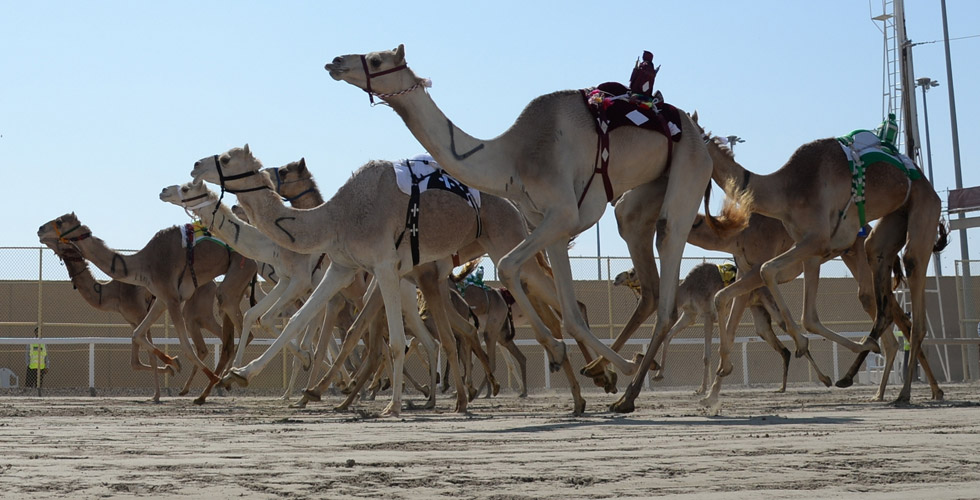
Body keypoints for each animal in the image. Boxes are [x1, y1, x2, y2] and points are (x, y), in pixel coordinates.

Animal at [38, 213, 256, 404]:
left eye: (59, 221)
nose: (40, 229)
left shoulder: (167, 299)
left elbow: (182, 348)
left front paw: (160, 390)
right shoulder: (159, 301)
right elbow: (137, 337)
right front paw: (172, 364)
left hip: (226, 285)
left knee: (236, 331)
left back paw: (222, 381)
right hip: (215, 300)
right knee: (226, 340)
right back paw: (210, 388)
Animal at [326, 45, 748, 414]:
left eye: (376, 59)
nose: (334, 62)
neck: (512, 157)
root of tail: (698, 132)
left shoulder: (561, 213)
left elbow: (509, 267)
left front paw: (598, 364)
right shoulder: (552, 224)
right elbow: (570, 313)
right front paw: (596, 368)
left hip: (688, 172)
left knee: (668, 269)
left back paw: (628, 392)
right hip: (637, 202)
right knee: (643, 269)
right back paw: (612, 378)